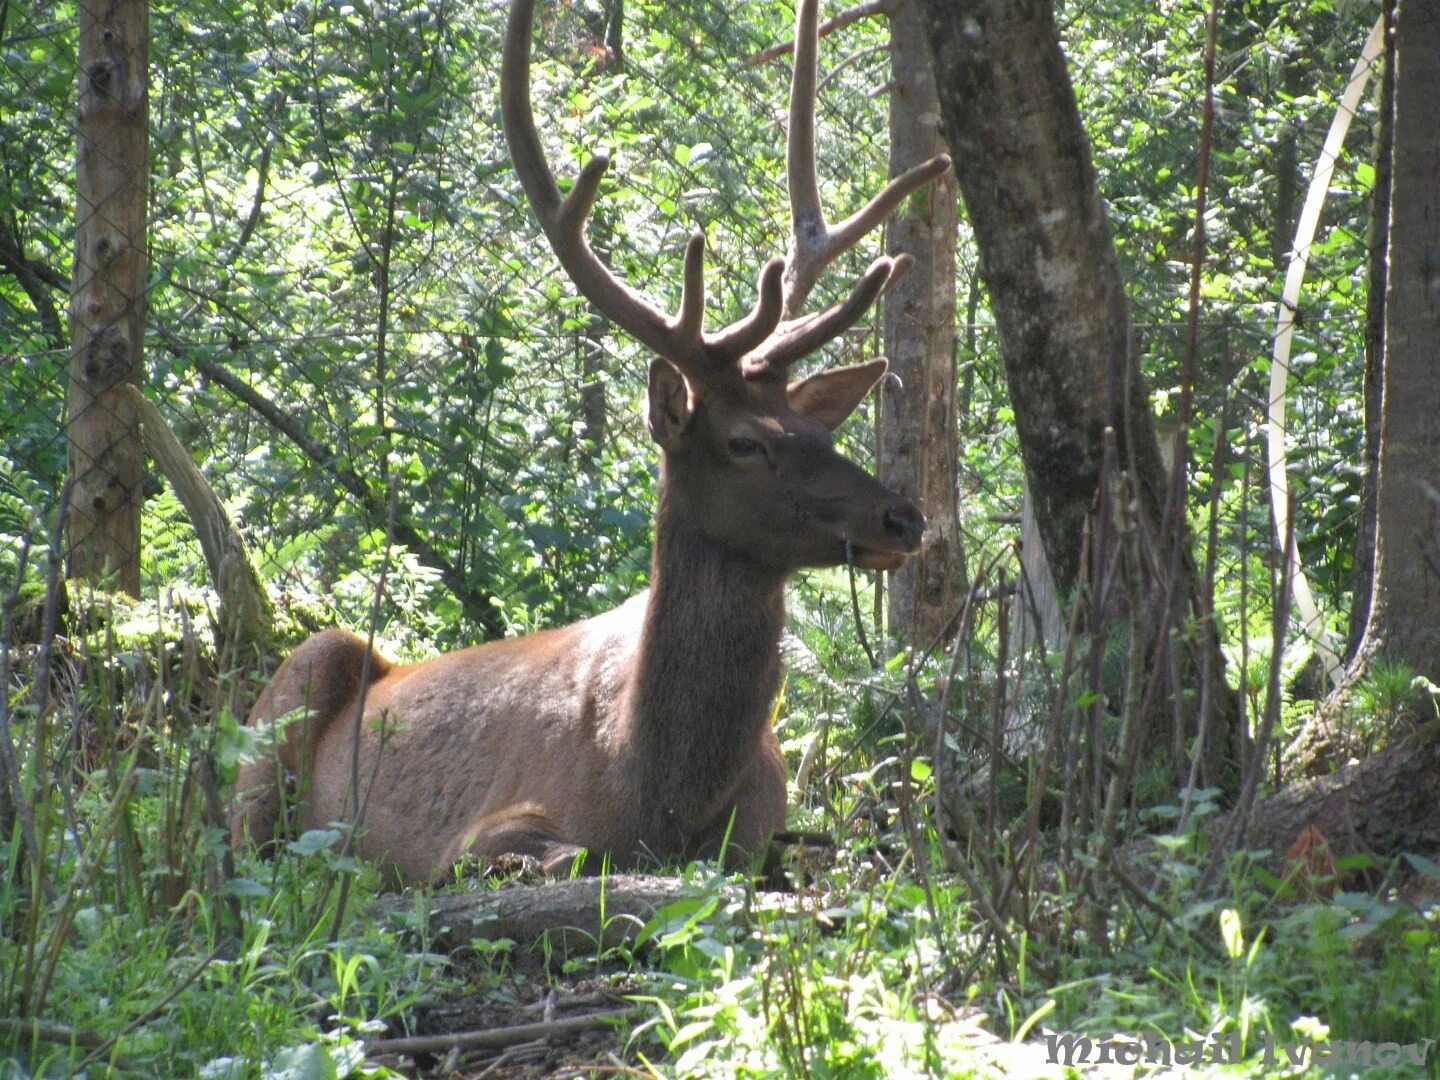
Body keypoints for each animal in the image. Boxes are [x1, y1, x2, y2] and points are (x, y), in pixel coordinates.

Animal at [230, 0, 950, 881]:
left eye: (822, 427)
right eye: (746, 442)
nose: (902, 517)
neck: (666, 791)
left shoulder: (764, 830)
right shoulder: (480, 831)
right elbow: (568, 855)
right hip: (290, 694)